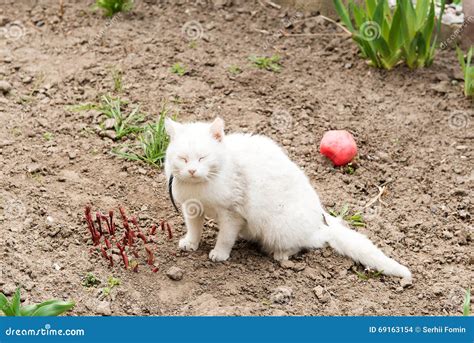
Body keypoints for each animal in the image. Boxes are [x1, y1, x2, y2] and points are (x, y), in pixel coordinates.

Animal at [165, 117, 412, 282]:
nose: (192, 170)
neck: (200, 188)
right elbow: (194, 229)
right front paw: (191, 243)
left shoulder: (231, 214)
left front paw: (220, 254)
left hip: (278, 227)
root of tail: (320, 220)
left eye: (202, 157)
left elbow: (225, 238)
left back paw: (281, 254)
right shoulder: (191, 208)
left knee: (313, 242)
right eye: (183, 158)